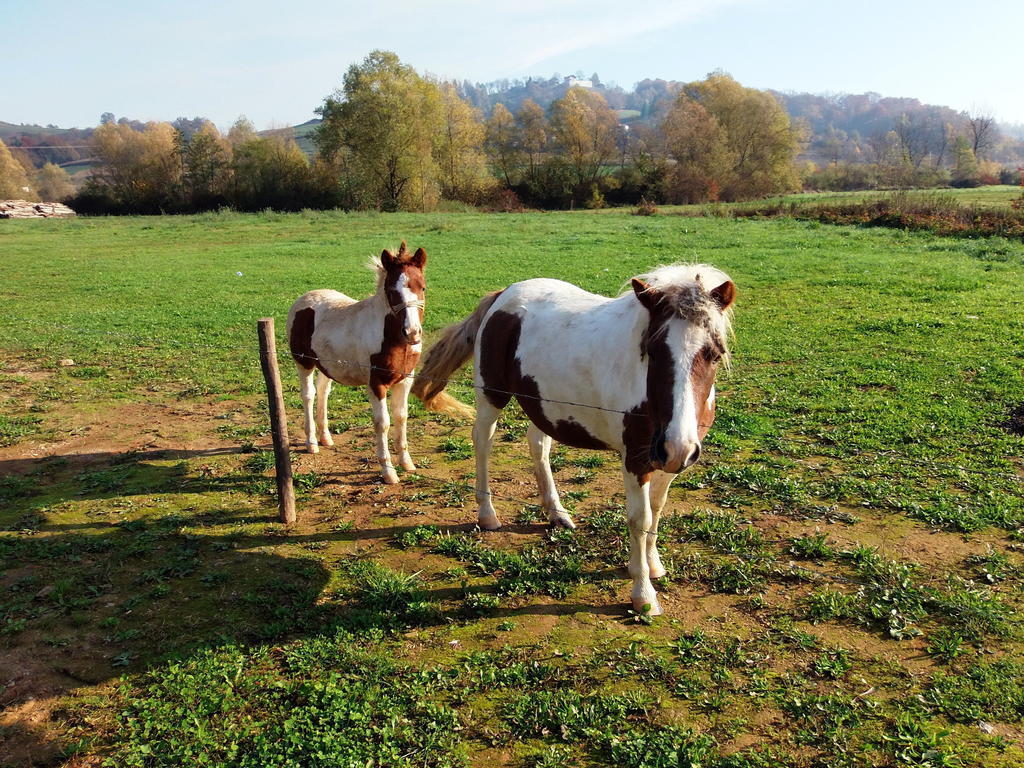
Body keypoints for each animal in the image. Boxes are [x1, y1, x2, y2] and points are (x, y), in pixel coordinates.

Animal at [286, 243, 438, 483]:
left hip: (327, 365)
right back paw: (311, 443)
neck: (392, 338)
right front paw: (388, 472)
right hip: (304, 363)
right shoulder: (376, 383)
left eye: (422, 287)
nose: (412, 332)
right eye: (392, 291)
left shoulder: (405, 380)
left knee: (323, 392)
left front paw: (407, 463)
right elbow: (383, 422)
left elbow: (401, 417)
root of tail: (302, 300)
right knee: (308, 395)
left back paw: (325, 437)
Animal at [413, 264, 737, 614]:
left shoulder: (668, 460)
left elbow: (656, 510)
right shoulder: (636, 460)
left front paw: (653, 565)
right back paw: (488, 515)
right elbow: (639, 519)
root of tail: (503, 295)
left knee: (538, 446)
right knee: (483, 442)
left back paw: (557, 513)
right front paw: (643, 595)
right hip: (491, 396)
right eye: (653, 351)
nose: (677, 445)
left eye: (714, 354)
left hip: (544, 405)